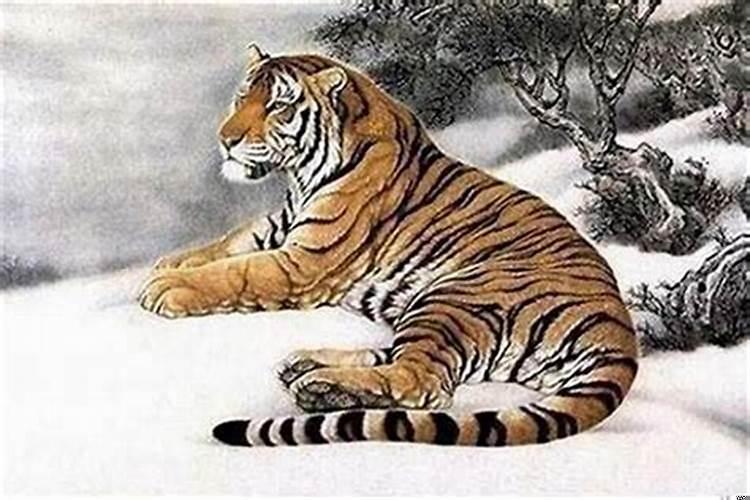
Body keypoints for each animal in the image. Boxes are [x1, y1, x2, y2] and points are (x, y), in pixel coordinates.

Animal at [138, 44, 638, 447]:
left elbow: (234, 272)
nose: (226, 140)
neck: (301, 175)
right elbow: (226, 243)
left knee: (421, 382)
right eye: (243, 96)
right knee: (400, 361)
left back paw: (318, 386)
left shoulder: (302, 262)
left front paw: (166, 288)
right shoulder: (280, 225)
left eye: (278, 105)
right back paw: (305, 367)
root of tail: (619, 329)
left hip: (454, 297)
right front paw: (168, 264)